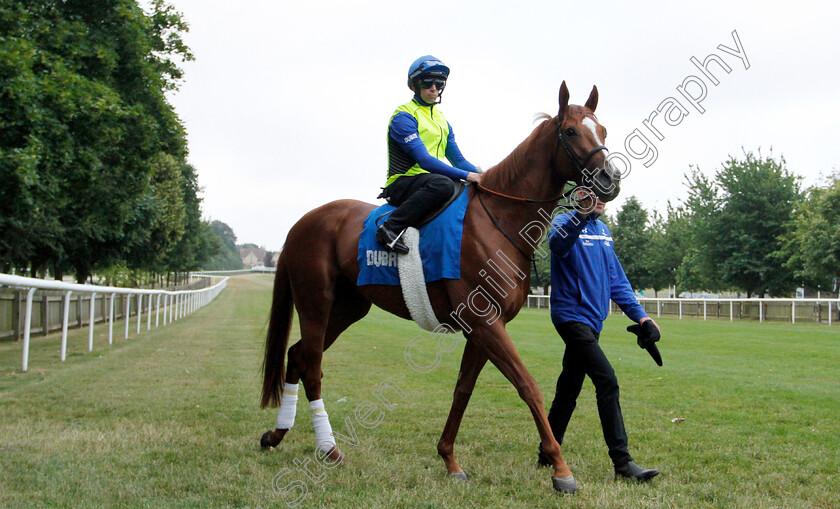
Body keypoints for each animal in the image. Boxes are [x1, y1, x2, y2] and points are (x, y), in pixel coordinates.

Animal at [260, 82, 620, 492]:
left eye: (603, 130)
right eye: (572, 132)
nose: (610, 180)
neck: (499, 222)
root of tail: (301, 223)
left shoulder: (483, 328)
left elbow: (463, 389)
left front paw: (449, 458)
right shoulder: (486, 323)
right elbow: (528, 385)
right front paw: (560, 468)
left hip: (348, 308)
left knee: (298, 355)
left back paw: (277, 434)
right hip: (315, 303)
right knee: (314, 366)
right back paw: (329, 448)